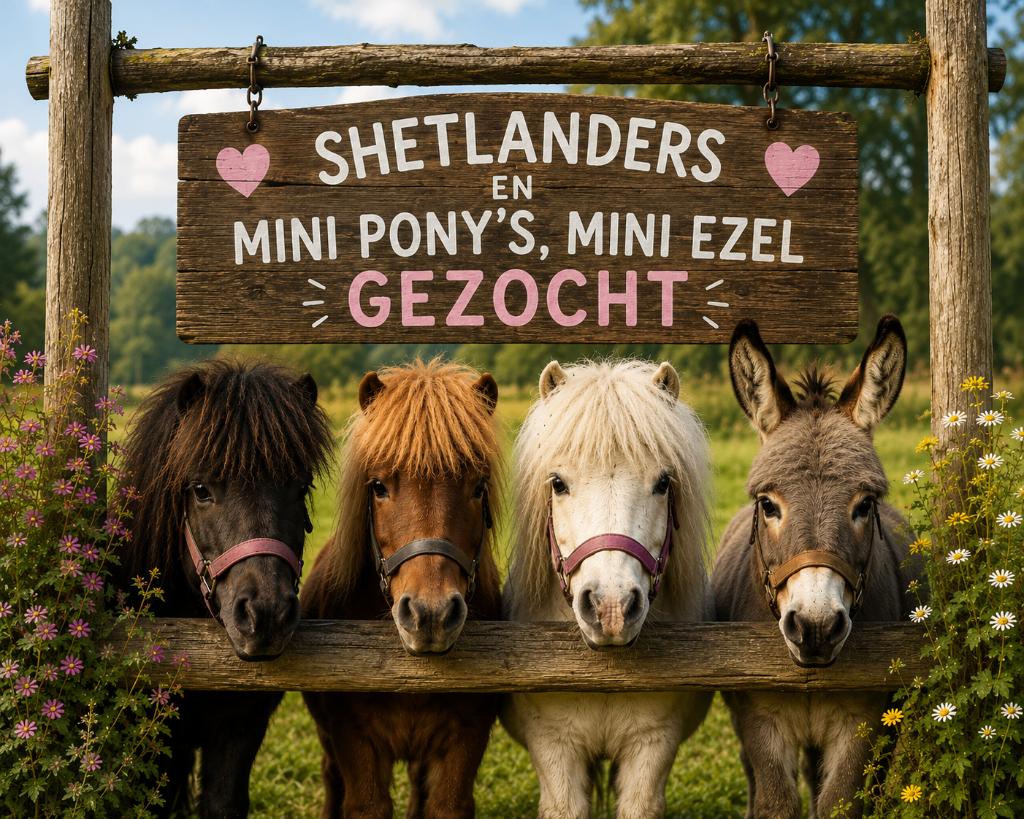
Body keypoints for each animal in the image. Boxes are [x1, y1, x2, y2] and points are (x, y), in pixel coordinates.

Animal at [301, 359, 503, 819]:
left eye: (478, 487)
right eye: (378, 486)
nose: (430, 615)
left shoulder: (465, 739)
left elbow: (443, 803)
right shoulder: (352, 738)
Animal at [711, 315, 918, 819]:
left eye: (865, 505)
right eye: (768, 504)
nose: (816, 627)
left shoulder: (863, 723)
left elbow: (840, 803)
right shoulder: (760, 720)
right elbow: (775, 803)